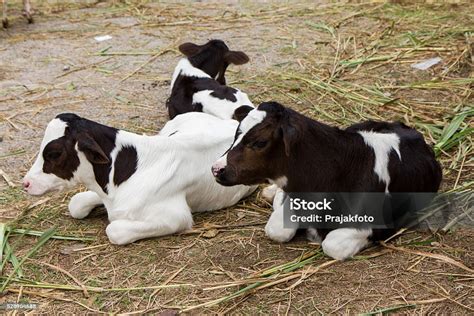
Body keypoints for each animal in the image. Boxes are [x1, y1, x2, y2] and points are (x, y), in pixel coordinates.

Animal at [213, 102, 442, 260]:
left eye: (260, 142)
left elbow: (332, 244)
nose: (216, 169)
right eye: (236, 133)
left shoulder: (377, 224)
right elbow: (277, 228)